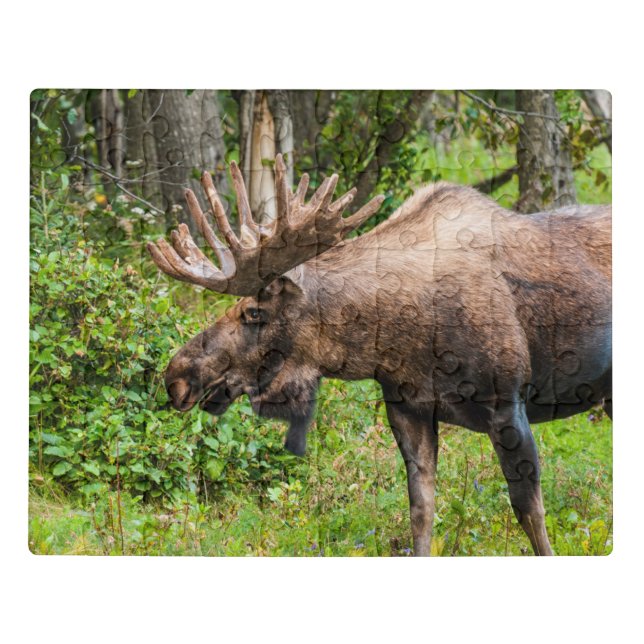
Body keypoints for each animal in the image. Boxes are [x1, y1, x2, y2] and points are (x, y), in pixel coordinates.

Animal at [148, 154, 612, 556]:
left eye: (254, 312)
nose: (177, 375)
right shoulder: (408, 408)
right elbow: (421, 512)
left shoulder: (507, 403)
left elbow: (530, 513)